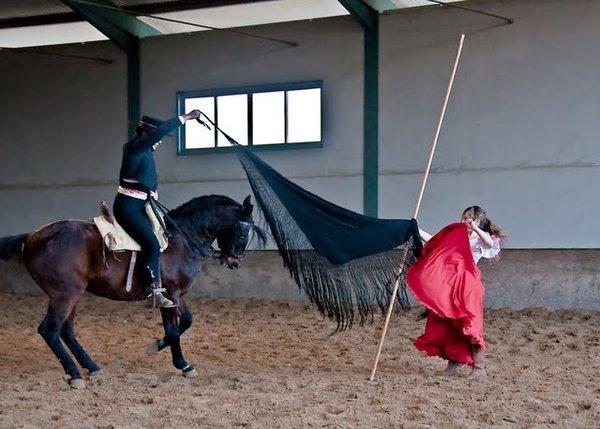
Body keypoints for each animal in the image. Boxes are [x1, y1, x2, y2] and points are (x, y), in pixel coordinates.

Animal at [0, 194, 268, 388]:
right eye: (243, 231)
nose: (235, 261)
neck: (180, 238)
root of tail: (32, 237)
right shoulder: (170, 293)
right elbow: (173, 330)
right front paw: (182, 364)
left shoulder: (175, 295)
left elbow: (186, 322)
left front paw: (158, 346)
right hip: (64, 295)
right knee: (50, 330)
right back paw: (75, 374)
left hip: (72, 295)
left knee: (66, 331)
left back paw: (91, 366)